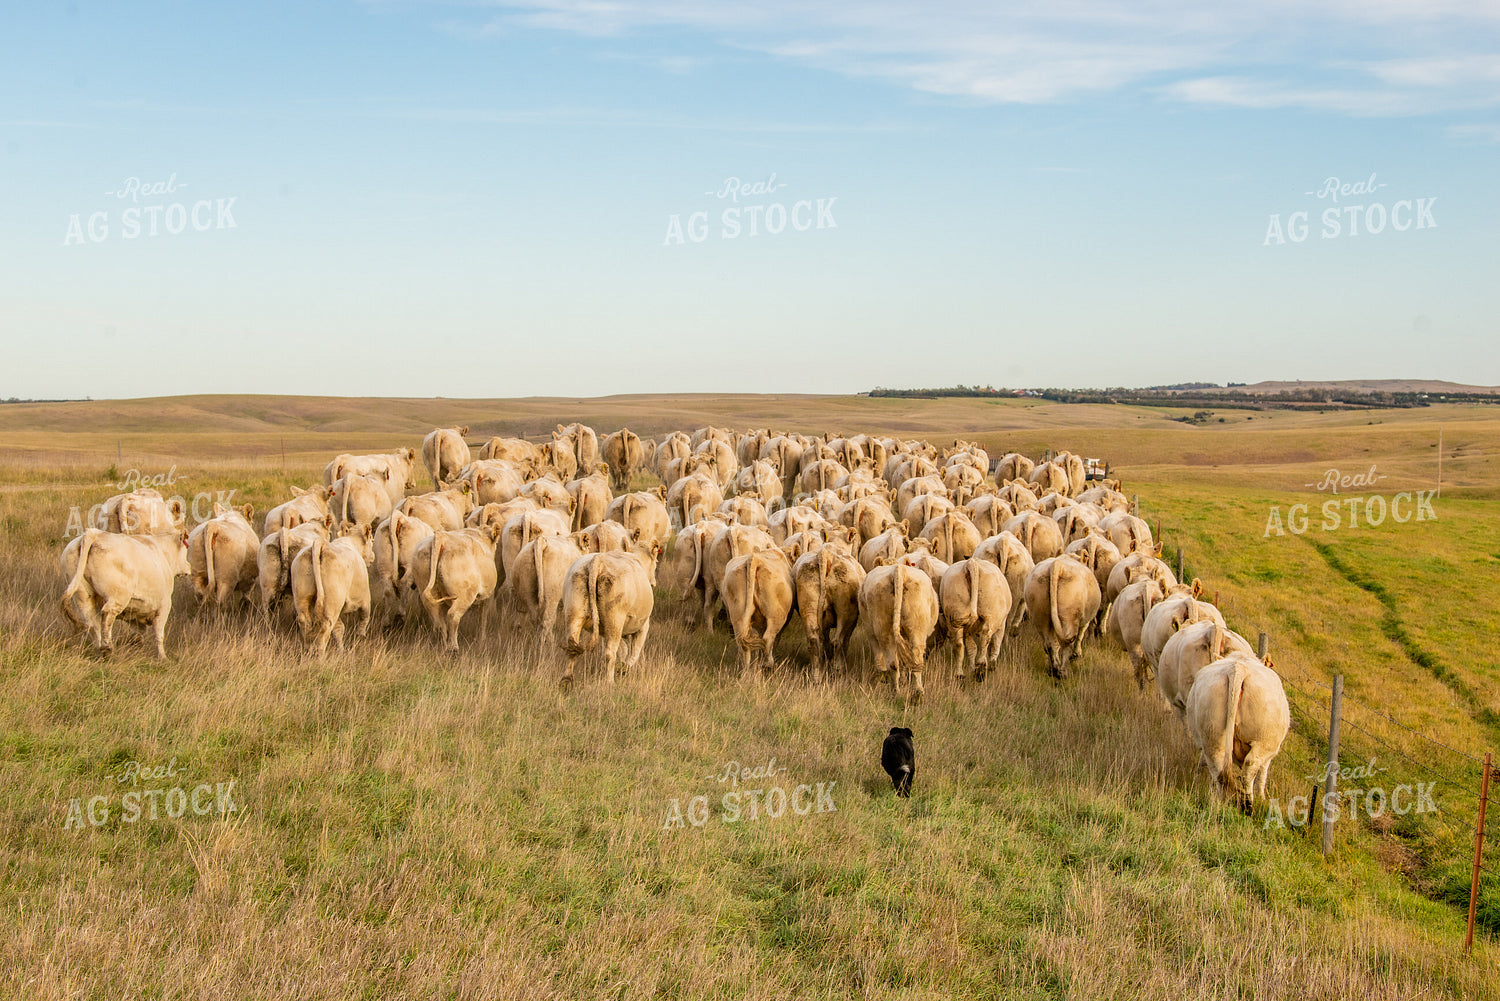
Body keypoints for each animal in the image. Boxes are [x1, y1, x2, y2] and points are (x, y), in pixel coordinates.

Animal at [60, 528, 190, 658]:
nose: (188, 566)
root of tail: (95, 533)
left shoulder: (135, 613)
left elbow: (138, 634)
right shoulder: (164, 605)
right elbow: (159, 634)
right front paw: (162, 657)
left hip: (83, 596)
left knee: (92, 623)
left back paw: (98, 650)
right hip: (117, 596)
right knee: (107, 616)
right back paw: (107, 648)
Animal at [559, 543, 661, 687]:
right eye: (656, 562)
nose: (654, 582)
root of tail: (598, 560)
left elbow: (623, 650)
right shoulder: (643, 626)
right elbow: (634, 653)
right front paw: (623, 669)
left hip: (574, 613)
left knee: (572, 647)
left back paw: (566, 680)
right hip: (615, 619)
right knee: (609, 653)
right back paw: (609, 682)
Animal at [859, 562, 940, 703]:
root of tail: (898, 569)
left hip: (886, 628)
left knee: (895, 663)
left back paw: (898, 694)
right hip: (913, 630)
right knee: (914, 660)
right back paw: (915, 694)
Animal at [1186, 654, 1290, 809]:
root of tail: (1238, 668)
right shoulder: (1270, 754)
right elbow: (1262, 775)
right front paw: (1262, 798)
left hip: (1211, 735)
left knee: (1218, 767)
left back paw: (1221, 801)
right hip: (1264, 741)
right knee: (1250, 767)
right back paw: (1248, 804)